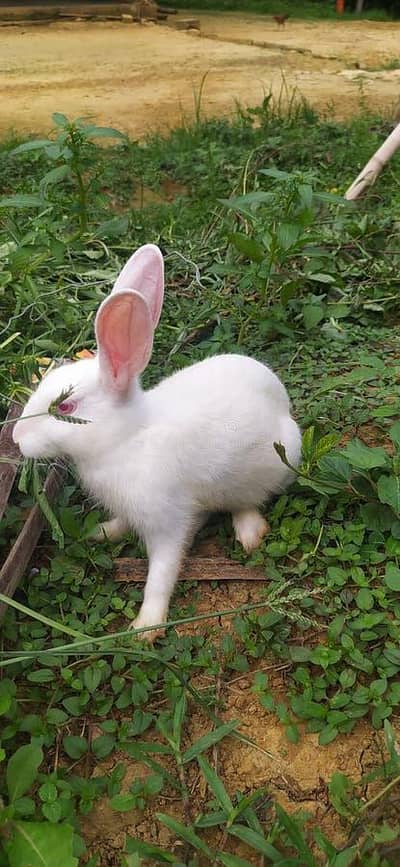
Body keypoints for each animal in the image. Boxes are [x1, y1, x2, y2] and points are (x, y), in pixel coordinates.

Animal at [12, 244, 302, 639]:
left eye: (66, 407)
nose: (16, 438)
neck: (127, 438)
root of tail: (283, 401)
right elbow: (123, 522)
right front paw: (101, 532)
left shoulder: (168, 522)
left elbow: (162, 573)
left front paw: (146, 628)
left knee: (247, 501)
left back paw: (250, 532)